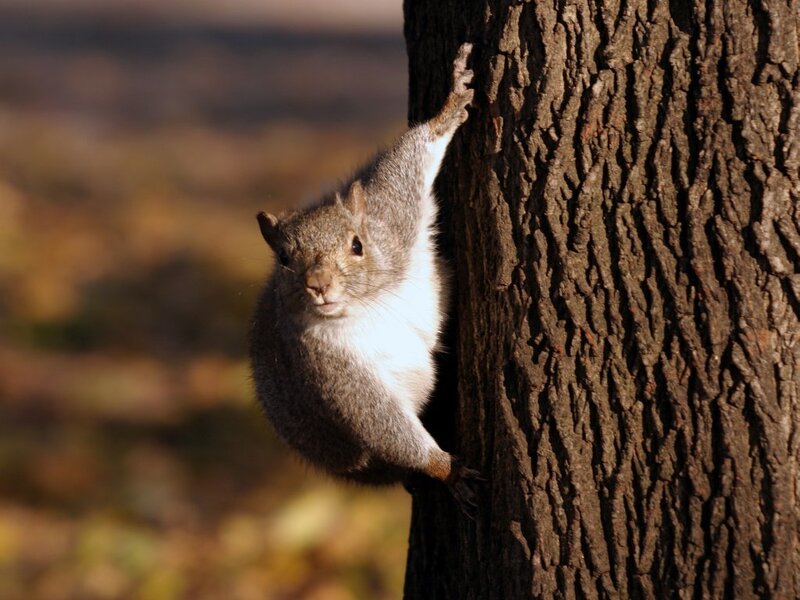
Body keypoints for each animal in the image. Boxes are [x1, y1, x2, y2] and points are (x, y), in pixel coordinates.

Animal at [250, 43, 480, 513]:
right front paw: (446, 469)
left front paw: (448, 107)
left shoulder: (393, 228)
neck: (368, 305)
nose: (319, 284)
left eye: (358, 245)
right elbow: (381, 425)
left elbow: (404, 167)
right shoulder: (327, 369)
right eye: (283, 258)